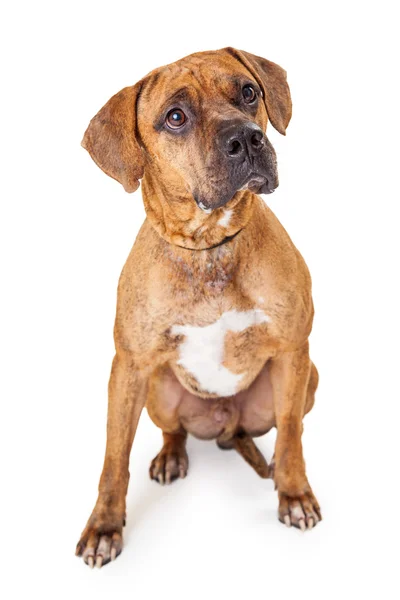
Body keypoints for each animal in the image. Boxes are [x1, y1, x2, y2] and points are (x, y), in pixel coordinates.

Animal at [76, 47, 322, 568]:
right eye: (175, 117)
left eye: (248, 92)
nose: (245, 139)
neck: (210, 246)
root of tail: (225, 425)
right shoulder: (129, 369)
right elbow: (114, 456)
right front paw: (104, 526)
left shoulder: (293, 350)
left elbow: (292, 434)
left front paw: (294, 494)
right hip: (158, 391)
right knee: (175, 431)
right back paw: (171, 455)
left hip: (306, 379)